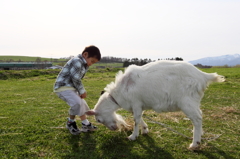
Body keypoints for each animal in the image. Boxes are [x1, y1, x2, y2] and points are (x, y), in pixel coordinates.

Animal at [86, 60, 225, 148]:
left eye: (98, 120)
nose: (114, 129)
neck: (120, 91)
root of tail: (203, 76)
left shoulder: (136, 102)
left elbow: (136, 120)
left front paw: (133, 136)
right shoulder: (137, 106)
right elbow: (140, 117)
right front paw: (145, 130)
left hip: (187, 102)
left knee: (197, 118)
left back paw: (195, 143)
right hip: (194, 101)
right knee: (199, 116)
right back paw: (199, 134)